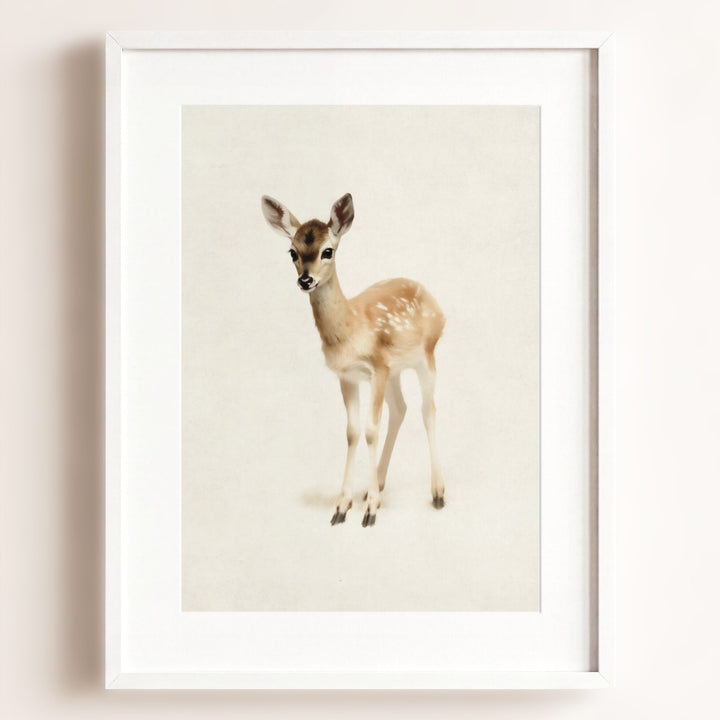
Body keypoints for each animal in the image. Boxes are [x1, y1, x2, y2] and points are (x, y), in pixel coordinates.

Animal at [261, 193, 445, 527]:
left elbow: (371, 430)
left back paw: (437, 492)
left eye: (328, 250)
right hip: (396, 370)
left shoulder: (377, 367)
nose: (305, 280)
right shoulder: (348, 375)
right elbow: (353, 432)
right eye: (292, 251)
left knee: (428, 409)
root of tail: (436, 303)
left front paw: (370, 511)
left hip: (426, 354)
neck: (351, 331)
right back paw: (378, 485)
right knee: (401, 408)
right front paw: (342, 506)